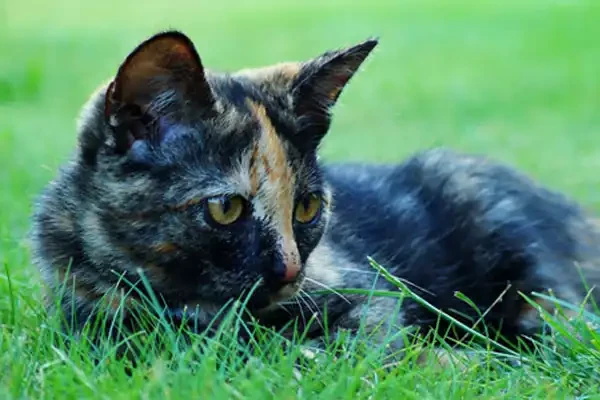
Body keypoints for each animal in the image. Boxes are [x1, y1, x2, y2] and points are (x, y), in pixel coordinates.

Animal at [31, 31, 600, 360]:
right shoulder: (87, 315)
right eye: (225, 208)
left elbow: (333, 348)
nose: (288, 271)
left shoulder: (368, 298)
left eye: (306, 207)